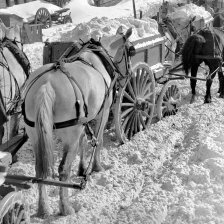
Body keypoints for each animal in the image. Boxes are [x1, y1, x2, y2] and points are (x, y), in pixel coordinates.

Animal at [23, 26, 133, 217]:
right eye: (130, 50)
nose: (129, 74)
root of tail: (46, 85)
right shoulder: (103, 112)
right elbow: (98, 141)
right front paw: (96, 167)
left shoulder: (83, 121)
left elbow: (83, 142)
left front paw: (82, 168)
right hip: (69, 134)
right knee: (63, 170)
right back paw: (65, 207)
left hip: (36, 133)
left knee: (39, 170)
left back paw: (43, 209)